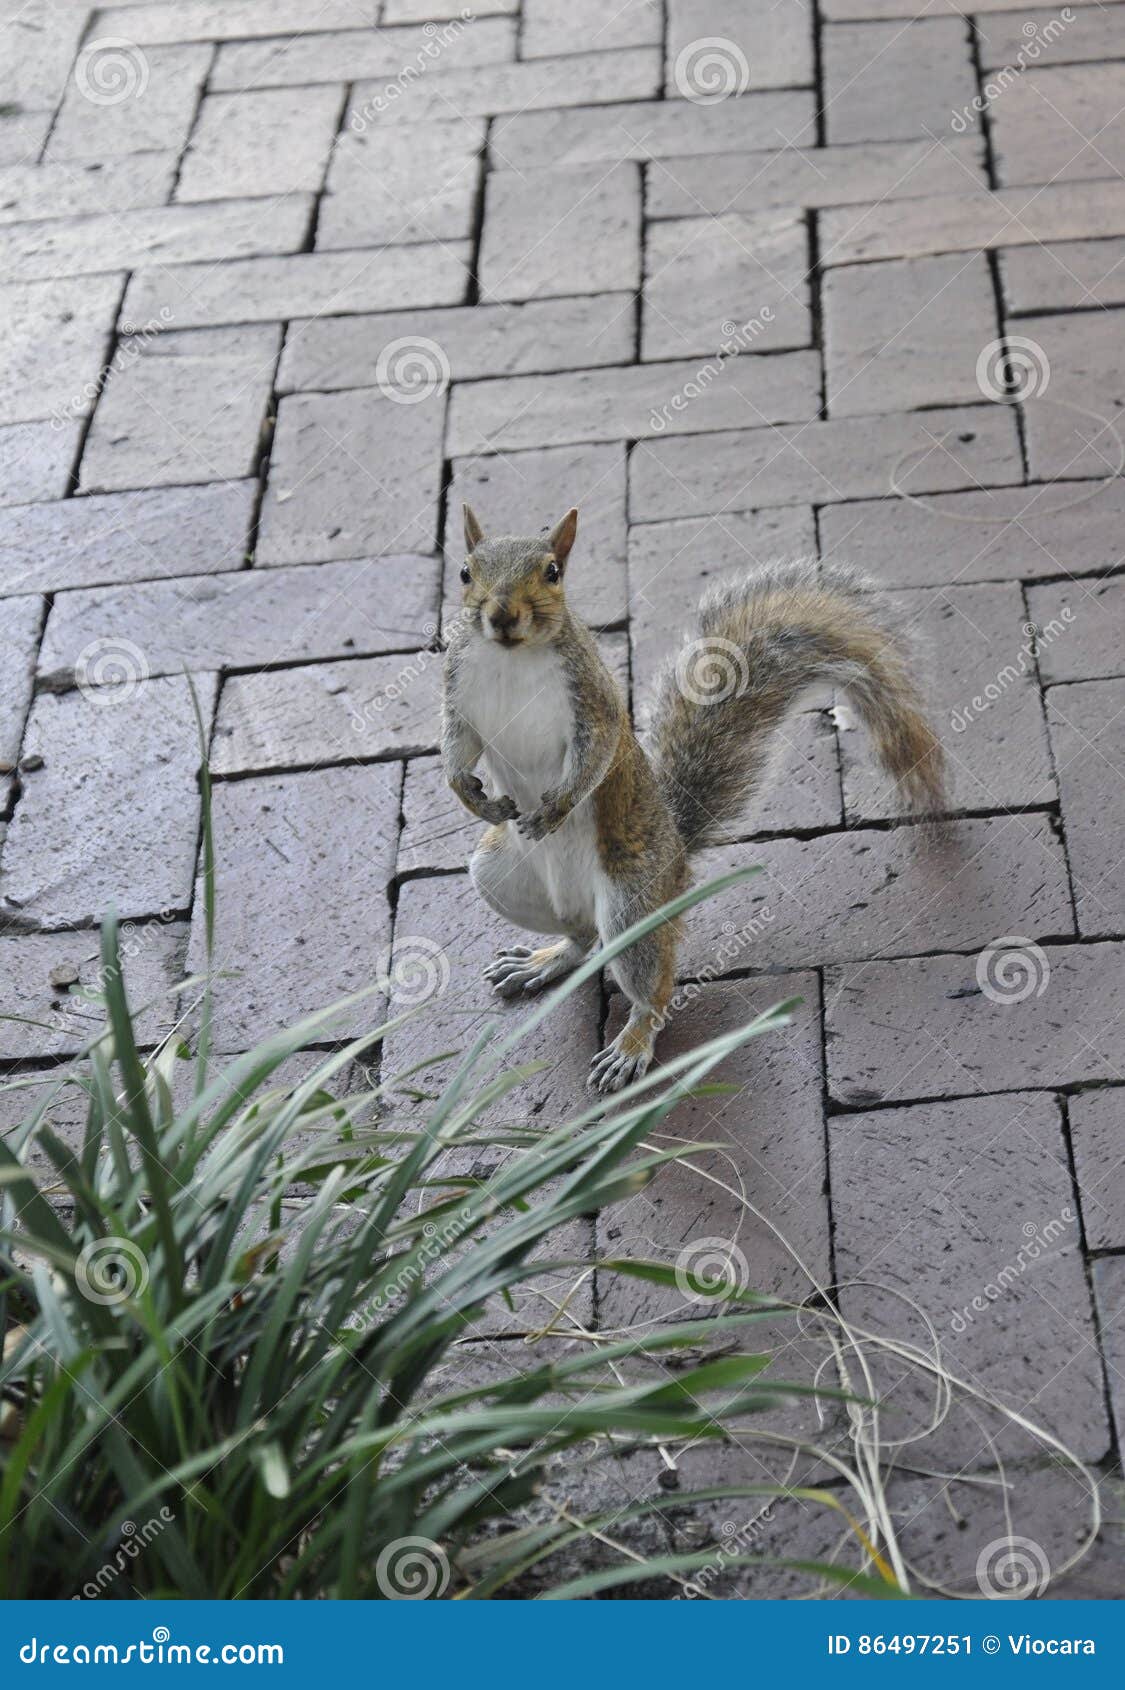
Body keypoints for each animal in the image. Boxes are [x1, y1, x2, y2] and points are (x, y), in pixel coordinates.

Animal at [441, 504, 945, 1094]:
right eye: (465, 572)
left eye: (552, 572)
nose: (501, 614)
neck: (511, 659)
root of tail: (678, 854)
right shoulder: (459, 692)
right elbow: (457, 744)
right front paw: (468, 793)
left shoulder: (592, 700)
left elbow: (595, 754)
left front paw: (556, 807)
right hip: (498, 873)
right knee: (583, 936)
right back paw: (545, 960)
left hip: (632, 901)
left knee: (649, 984)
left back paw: (631, 1043)